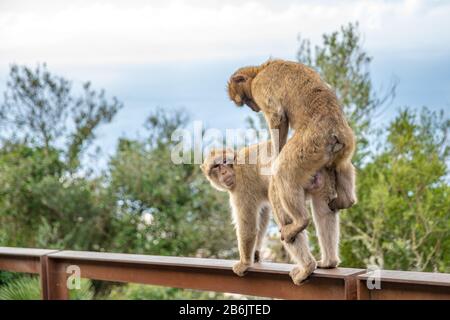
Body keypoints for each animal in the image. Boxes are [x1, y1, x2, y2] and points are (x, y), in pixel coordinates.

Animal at [200, 141, 342, 284]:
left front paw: (245, 263)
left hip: (291, 178)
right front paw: (255, 253)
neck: (235, 165)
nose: (223, 171)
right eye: (216, 166)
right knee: (324, 212)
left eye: (225, 161)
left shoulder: (242, 184)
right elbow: (263, 216)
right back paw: (329, 262)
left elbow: (248, 226)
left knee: (285, 219)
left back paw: (308, 267)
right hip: (322, 175)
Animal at [227, 59, 356, 242]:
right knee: (344, 166)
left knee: (283, 172)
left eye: (245, 99)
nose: (253, 107)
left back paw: (300, 222)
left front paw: (276, 153)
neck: (260, 70)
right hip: (345, 146)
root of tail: (336, 133)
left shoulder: (260, 85)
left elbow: (277, 117)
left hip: (312, 145)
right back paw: (345, 201)